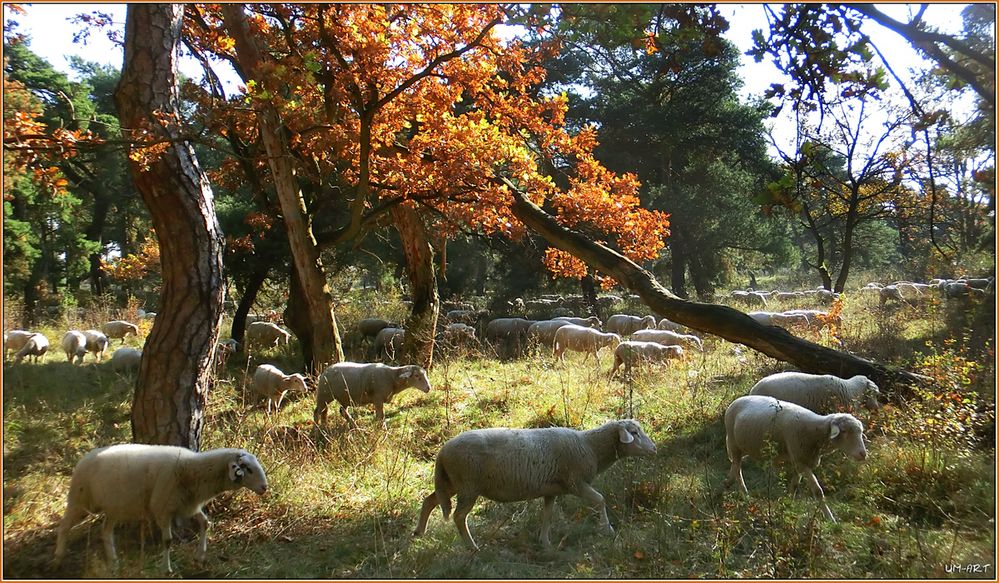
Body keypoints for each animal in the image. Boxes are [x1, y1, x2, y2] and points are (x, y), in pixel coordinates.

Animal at [53, 444, 266, 572]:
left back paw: (113, 563)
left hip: (115, 507)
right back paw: (58, 557)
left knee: (105, 532)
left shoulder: (187, 506)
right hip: (80, 500)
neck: (191, 471)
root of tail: (84, 458)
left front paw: (200, 556)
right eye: (247, 468)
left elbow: (205, 523)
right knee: (64, 526)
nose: (265, 487)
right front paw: (166, 568)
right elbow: (168, 540)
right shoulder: (162, 508)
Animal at [410, 420, 660, 548]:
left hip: (452, 483)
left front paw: (545, 541)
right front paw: (607, 529)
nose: (654, 449)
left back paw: (419, 532)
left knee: (430, 500)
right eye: (634, 432)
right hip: (469, 485)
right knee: (459, 516)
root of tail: (442, 451)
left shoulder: (552, 489)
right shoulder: (575, 482)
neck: (590, 446)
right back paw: (472, 547)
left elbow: (547, 514)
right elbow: (600, 499)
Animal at [724, 394, 872, 524]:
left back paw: (727, 484)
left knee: (734, 465)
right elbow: (818, 491)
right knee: (737, 468)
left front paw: (788, 505)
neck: (814, 432)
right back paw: (745, 495)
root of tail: (736, 401)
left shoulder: (799, 460)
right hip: (733, 442)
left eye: (860, 432)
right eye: (845, 431)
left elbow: (794, 486)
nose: (862, 454)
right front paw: (831, 519)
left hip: (743, 446)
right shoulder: (801, 462)